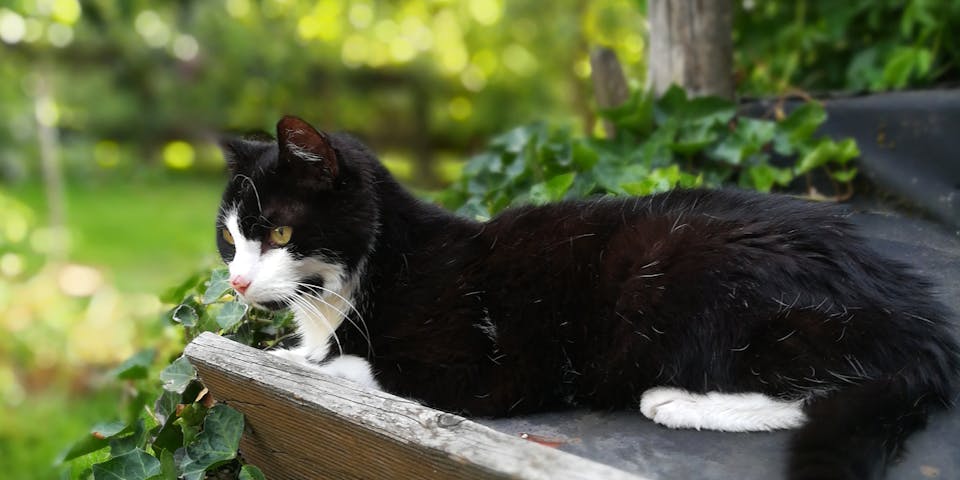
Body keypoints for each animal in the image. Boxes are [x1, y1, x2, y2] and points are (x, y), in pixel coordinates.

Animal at [219, 116, 960, 480]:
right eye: (229, 240)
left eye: (279, 232)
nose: (237, 284)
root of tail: (918, 315)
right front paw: (287, 352)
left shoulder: (482, 371)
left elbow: (351, 369)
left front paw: (302, 362)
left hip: (685, 281)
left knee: (824, 388)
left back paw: (676, 401)